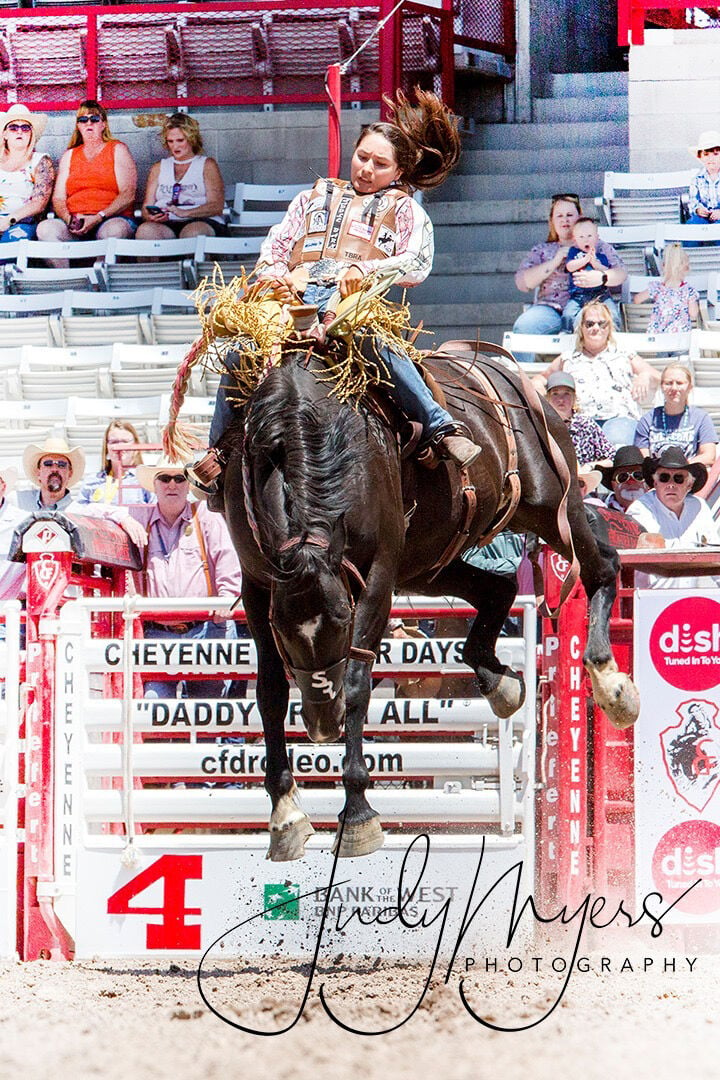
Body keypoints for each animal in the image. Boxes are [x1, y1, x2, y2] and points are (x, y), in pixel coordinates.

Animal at [205, 341, 639, 864]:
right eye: (285, 631)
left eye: (343, 618)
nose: (323, 724)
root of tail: (507, 375)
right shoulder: (258, 584)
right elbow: (269, 691)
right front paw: (285, 816)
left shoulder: (377, 577)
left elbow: (357, 683)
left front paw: (357, 815)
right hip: (430, 561)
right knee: (498, 590)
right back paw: (500, 682)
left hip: (554, 506)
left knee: (603, 568)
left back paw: (613, 685)